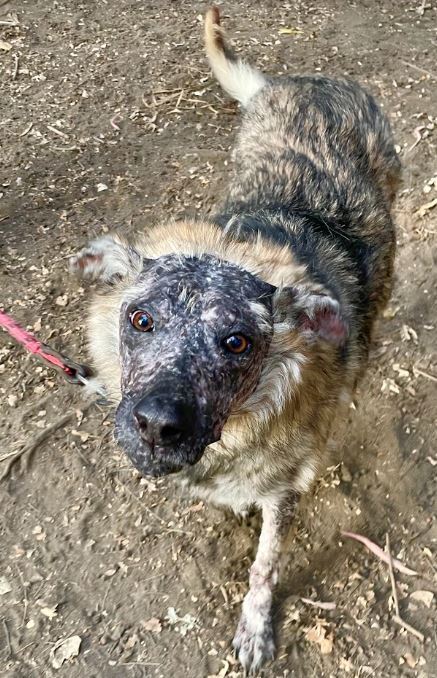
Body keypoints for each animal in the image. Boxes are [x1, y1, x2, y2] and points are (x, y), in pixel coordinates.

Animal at [70, 6, 400, 676]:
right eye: (139, 319)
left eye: (237, 342)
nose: (155, 426)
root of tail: (305, 80)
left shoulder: (286, 490)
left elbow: (264, 567)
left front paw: (255, 628)